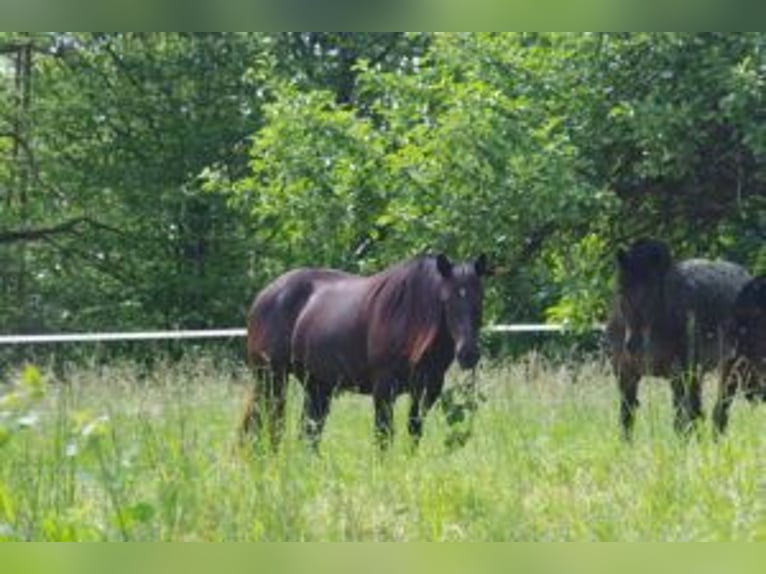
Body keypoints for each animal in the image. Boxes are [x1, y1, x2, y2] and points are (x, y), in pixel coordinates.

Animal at [608, 238, 752, 440]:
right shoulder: (625, 375)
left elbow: (680, 420)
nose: (634, 346)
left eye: (655, 292)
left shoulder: (679, 374)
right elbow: (626, 419)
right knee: (700, 411)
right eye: (621, 290)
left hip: (730, 367)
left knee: (719, 410)